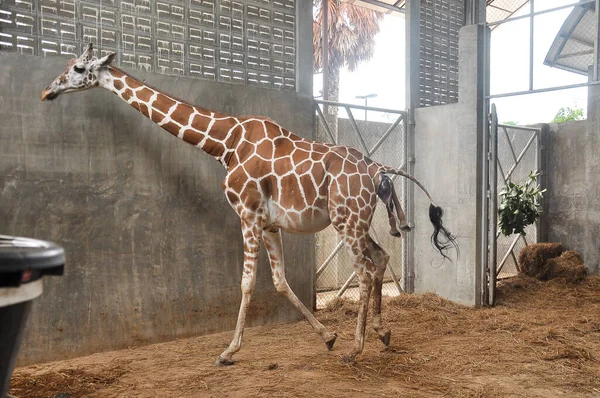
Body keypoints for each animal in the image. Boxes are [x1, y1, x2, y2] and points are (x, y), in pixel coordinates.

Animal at [39, 45, 458, 366]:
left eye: (77, 68)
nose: (47, 91)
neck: (224, 142)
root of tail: (379, 171)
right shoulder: (269, 223)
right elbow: (279, 281)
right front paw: (327, 336)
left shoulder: (247, 213)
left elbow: (245, 283)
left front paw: (228, 351)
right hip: (356, 220)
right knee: (382, 257)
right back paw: (382, 334)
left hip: (347, 220)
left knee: (367, 270)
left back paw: (356, 350)